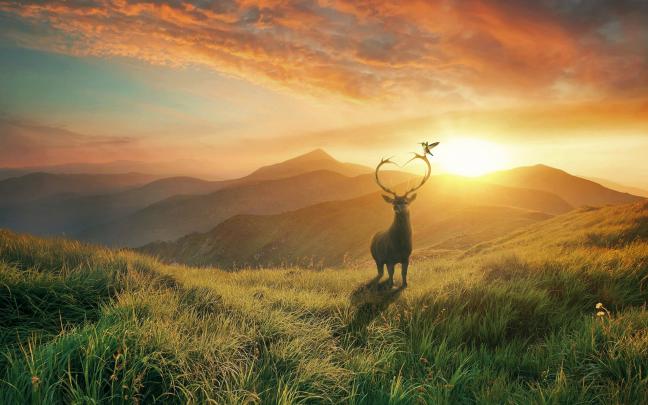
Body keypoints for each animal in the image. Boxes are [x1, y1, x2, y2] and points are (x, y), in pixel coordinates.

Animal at [370, 149, 432, 288]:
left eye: (405, 202)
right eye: (393, 202)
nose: (396, 208)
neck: (399, 246)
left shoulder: (406, 257)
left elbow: (404, 273)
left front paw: (404, 284)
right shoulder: (389, 258)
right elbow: (391, 274)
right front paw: (391, 285)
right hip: (376, 257)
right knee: (380, 272)